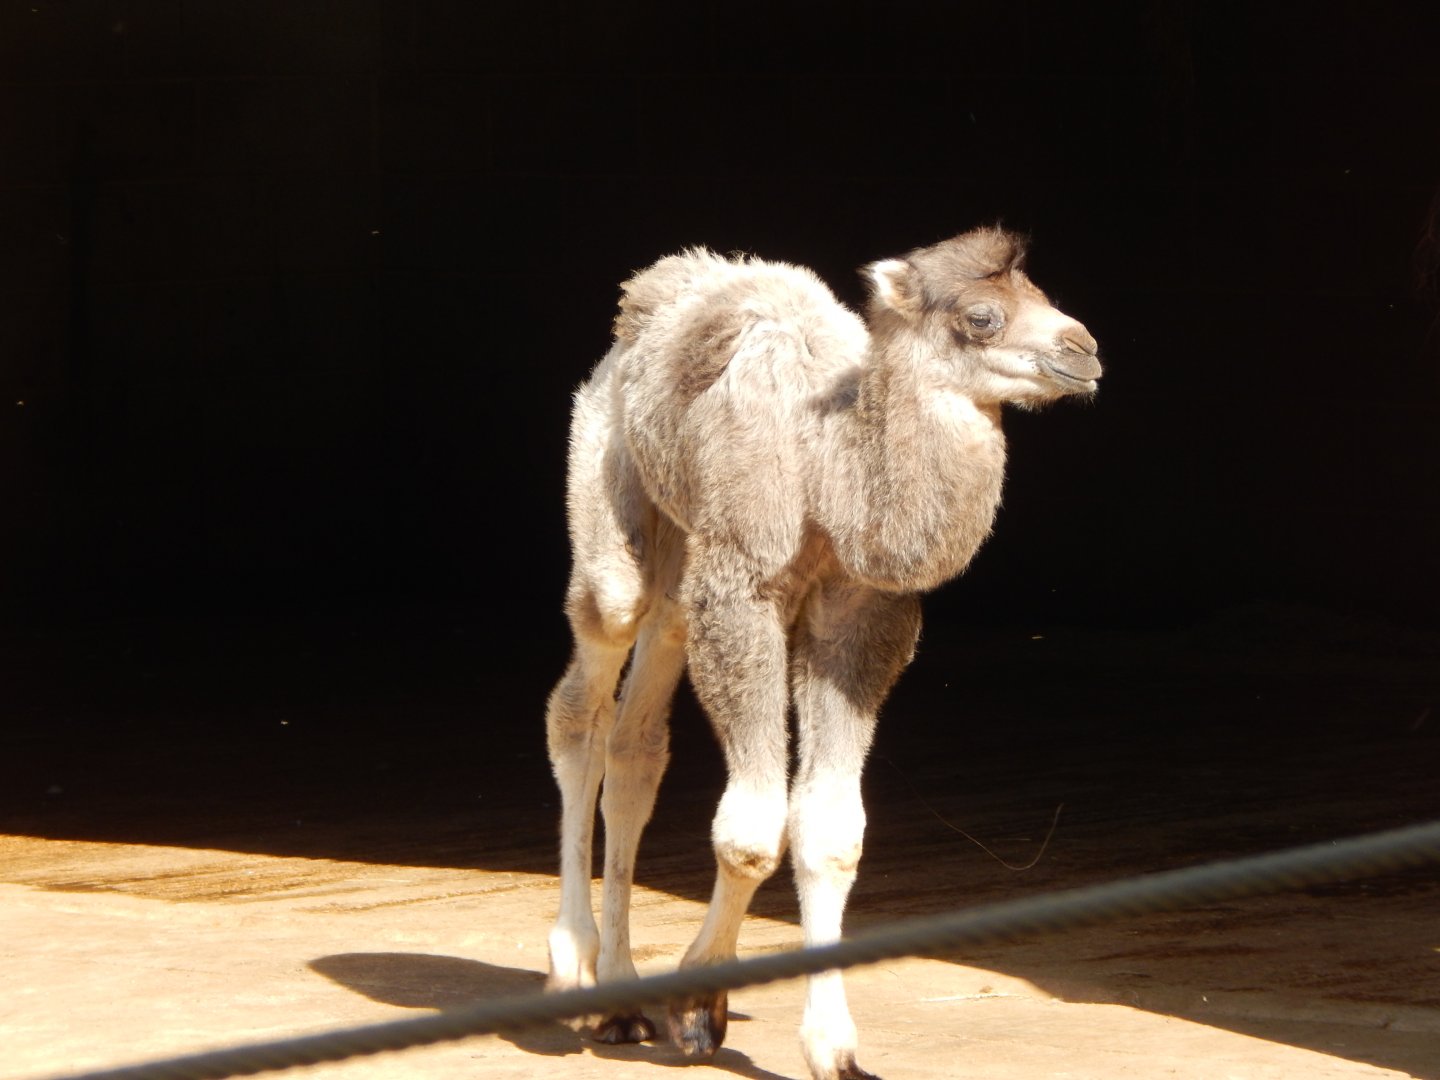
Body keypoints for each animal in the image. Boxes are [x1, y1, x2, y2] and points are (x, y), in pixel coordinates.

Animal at [544, 226, 1101, 1080]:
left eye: (1041, 295)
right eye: (981, 317)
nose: (1085, 349)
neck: (827, 466)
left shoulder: (858, 617)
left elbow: (832, 833)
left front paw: (832, 1048)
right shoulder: (741, 592)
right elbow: (750, 833)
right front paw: (698, 1003)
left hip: (682, 573)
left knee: (637, 741)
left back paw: (621, 999)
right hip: (607, 482)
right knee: (587, 686)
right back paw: (576, 972)